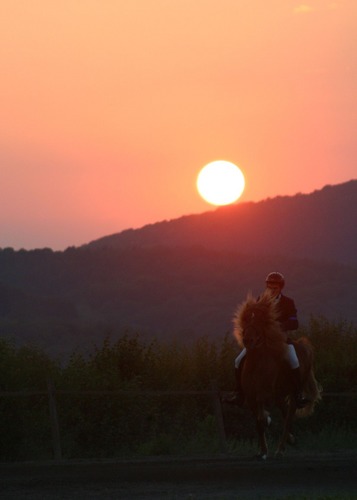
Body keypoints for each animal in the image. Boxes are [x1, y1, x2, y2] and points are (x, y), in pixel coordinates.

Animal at [232, 292, 322, 458]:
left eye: (260, 321)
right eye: (247, 320)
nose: (247, 340)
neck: (257, 363)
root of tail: (304, 347)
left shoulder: (265, 395)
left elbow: (262, 418)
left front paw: (268, 426)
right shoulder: (250, 396)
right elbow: (258, 421)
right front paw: (262, 451)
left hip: (292, 394)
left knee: (288, 417)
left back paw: (281, 448)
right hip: (280, 394)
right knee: (284, 412)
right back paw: (289, 440)